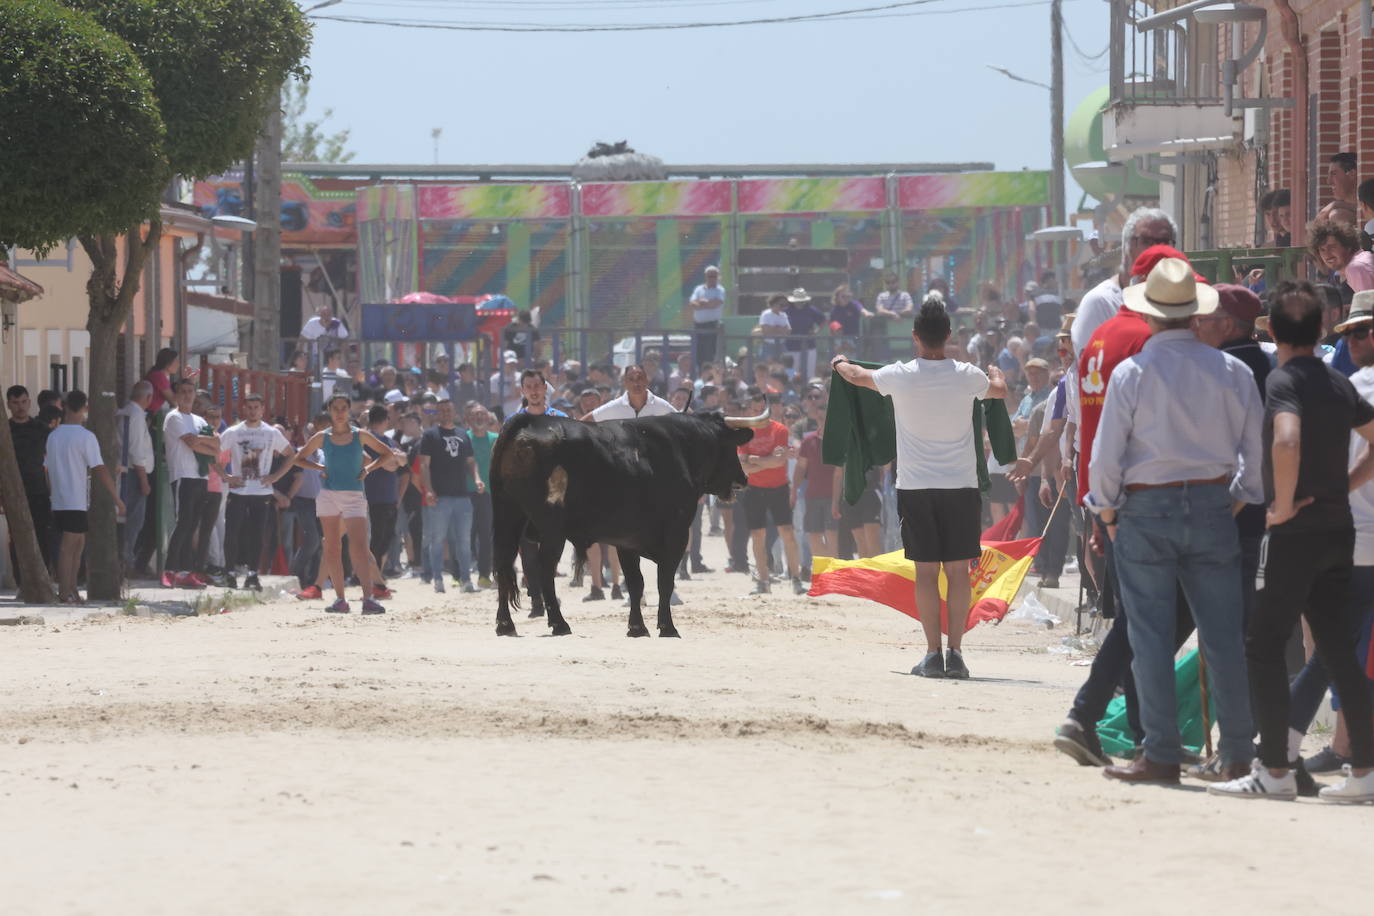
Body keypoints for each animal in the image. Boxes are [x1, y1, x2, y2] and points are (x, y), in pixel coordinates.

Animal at [491, 414, 752, 637]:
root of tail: (532, 419)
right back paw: (559, 623)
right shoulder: (676, 534)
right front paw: (667, 627)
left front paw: (637, 627)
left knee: (503, 566)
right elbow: (665, 581)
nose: (743, 479)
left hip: (507, 516)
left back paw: (505, 624)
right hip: (551, 528)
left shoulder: (627, 540)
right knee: (545, 569)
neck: (682, 448)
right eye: (731, 447)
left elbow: (636, 583)